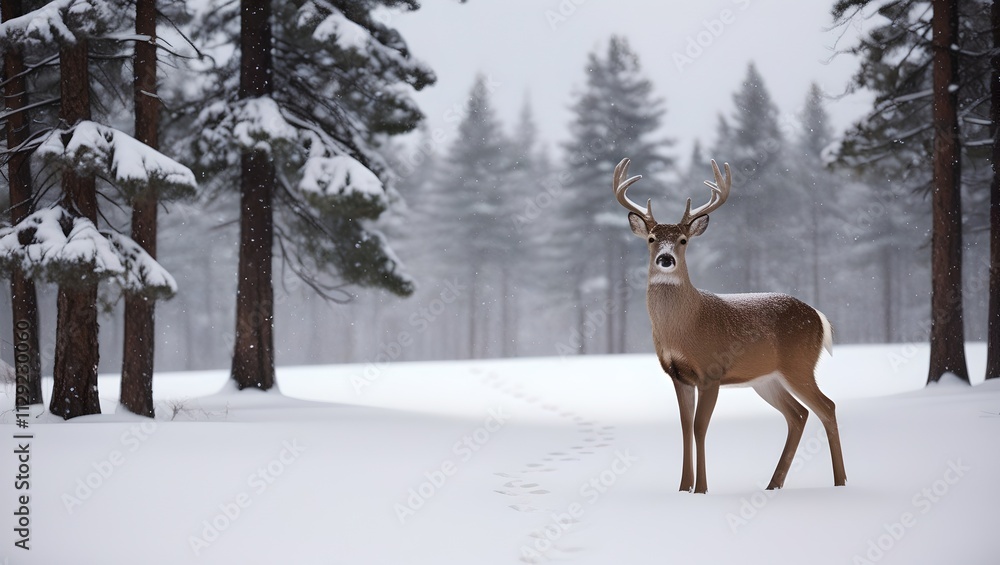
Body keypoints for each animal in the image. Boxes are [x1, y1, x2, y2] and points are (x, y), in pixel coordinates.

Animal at [612, 157, 846, 494]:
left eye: (683, 240)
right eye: (652, 239)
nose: (666, 259)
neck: (684, 329)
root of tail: (818, 316)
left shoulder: (711, 371)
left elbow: (700, 427)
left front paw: (701, 489)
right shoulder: (678, 375)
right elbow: (684, 427)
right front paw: (682, 488)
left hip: (799, 364)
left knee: (827, 406)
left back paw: (840, 483)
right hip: (767, 378)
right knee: (798, 414)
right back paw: (773, 484)